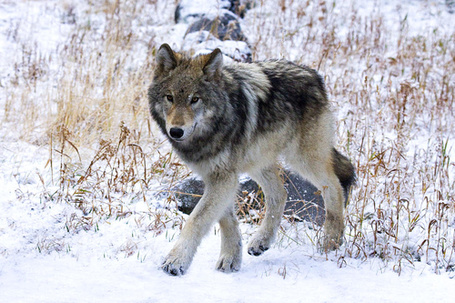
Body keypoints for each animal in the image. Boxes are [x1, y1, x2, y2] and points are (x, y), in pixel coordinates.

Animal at [150, 44, 356, 276]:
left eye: (195, 99)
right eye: (169, 97)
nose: (176, 131)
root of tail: (313, 74)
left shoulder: (223, 177)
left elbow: (196, 220)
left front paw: (176, 260)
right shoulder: (218, 177)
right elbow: (226, 220)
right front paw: (230, 259)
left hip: (302, 159)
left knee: (334, 186)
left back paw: (331, 240)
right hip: (257, 160)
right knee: (280, 194)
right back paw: (261, 241)